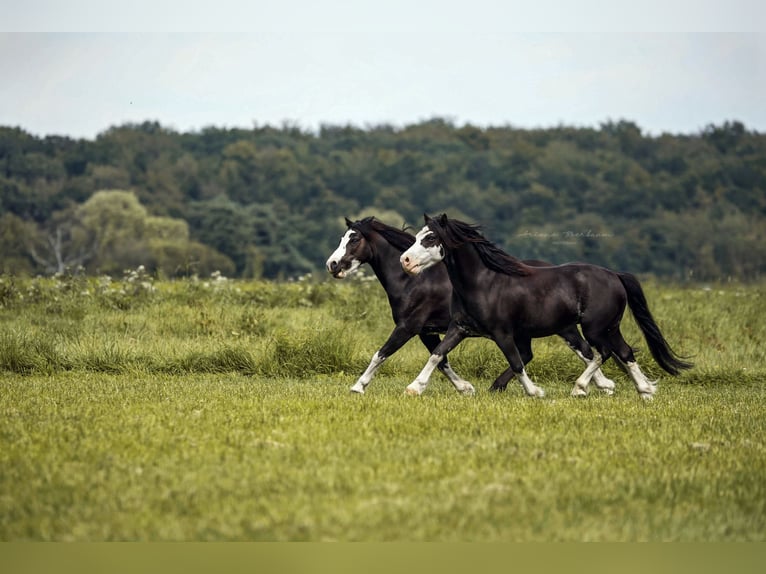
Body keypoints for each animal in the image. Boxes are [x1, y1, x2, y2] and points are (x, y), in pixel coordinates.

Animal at [328, 216, 616, 396]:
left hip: (562, 327)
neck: (413, 280)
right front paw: (464, 388)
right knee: (554, 353)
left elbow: (382, 353)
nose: (332, 265)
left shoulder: (409, 326)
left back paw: (599, 385)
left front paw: (358, 386)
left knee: (585, 351)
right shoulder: (428, 331)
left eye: (354, 240)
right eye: (342, 238)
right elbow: (441, 359)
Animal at [400, 214, 692, 398]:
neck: (483, 282)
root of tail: (614, 275)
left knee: (603, 353)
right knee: (625, 352)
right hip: (609, 328)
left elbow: (517, 362)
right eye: (417, 236)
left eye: (430, 238)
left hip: (595, 328)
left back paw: (580, 388)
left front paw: (535, 391)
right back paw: (645, 391)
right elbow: (437, 354)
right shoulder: (459, 328)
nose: (405, 261)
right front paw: (414, 388)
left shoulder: (502, 333)